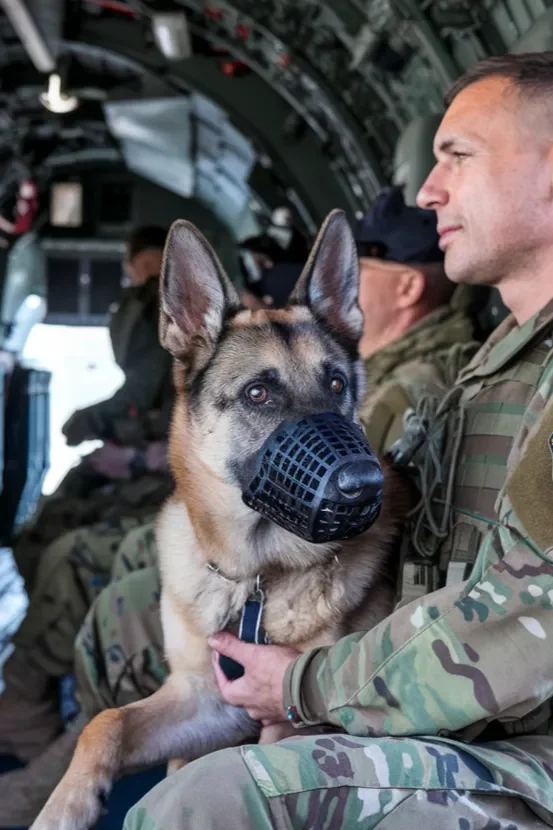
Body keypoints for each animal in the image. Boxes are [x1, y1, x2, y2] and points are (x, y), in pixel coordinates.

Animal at [32, 210, 412, 830]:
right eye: (257, 393)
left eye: (336, 384)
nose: (363, 485)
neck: (255, 577)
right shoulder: (205, 698)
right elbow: (106, 721)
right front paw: (64, 806)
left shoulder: (279, 722)